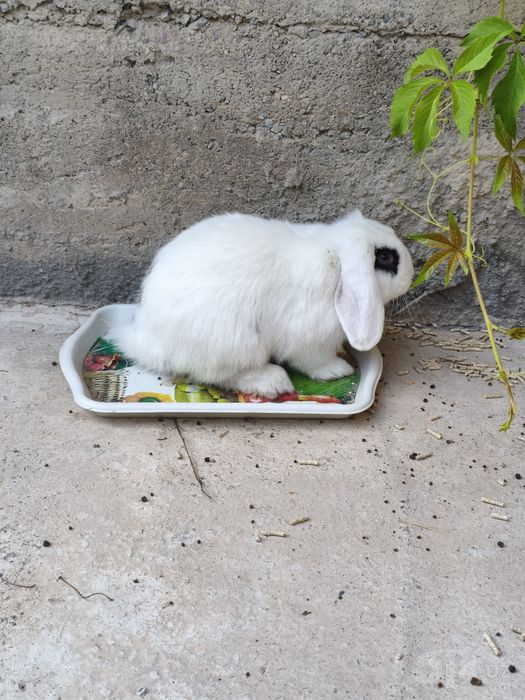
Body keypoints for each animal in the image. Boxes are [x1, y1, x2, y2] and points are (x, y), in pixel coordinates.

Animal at [114, 210, 413, 398]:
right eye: (385, 258)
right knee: (218, 375)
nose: (411, 274)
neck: (335, 260)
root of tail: (144, 338)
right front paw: (337, 370)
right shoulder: (308, 339)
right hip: (234, 342)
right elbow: (313, 362)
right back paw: (273, 382)